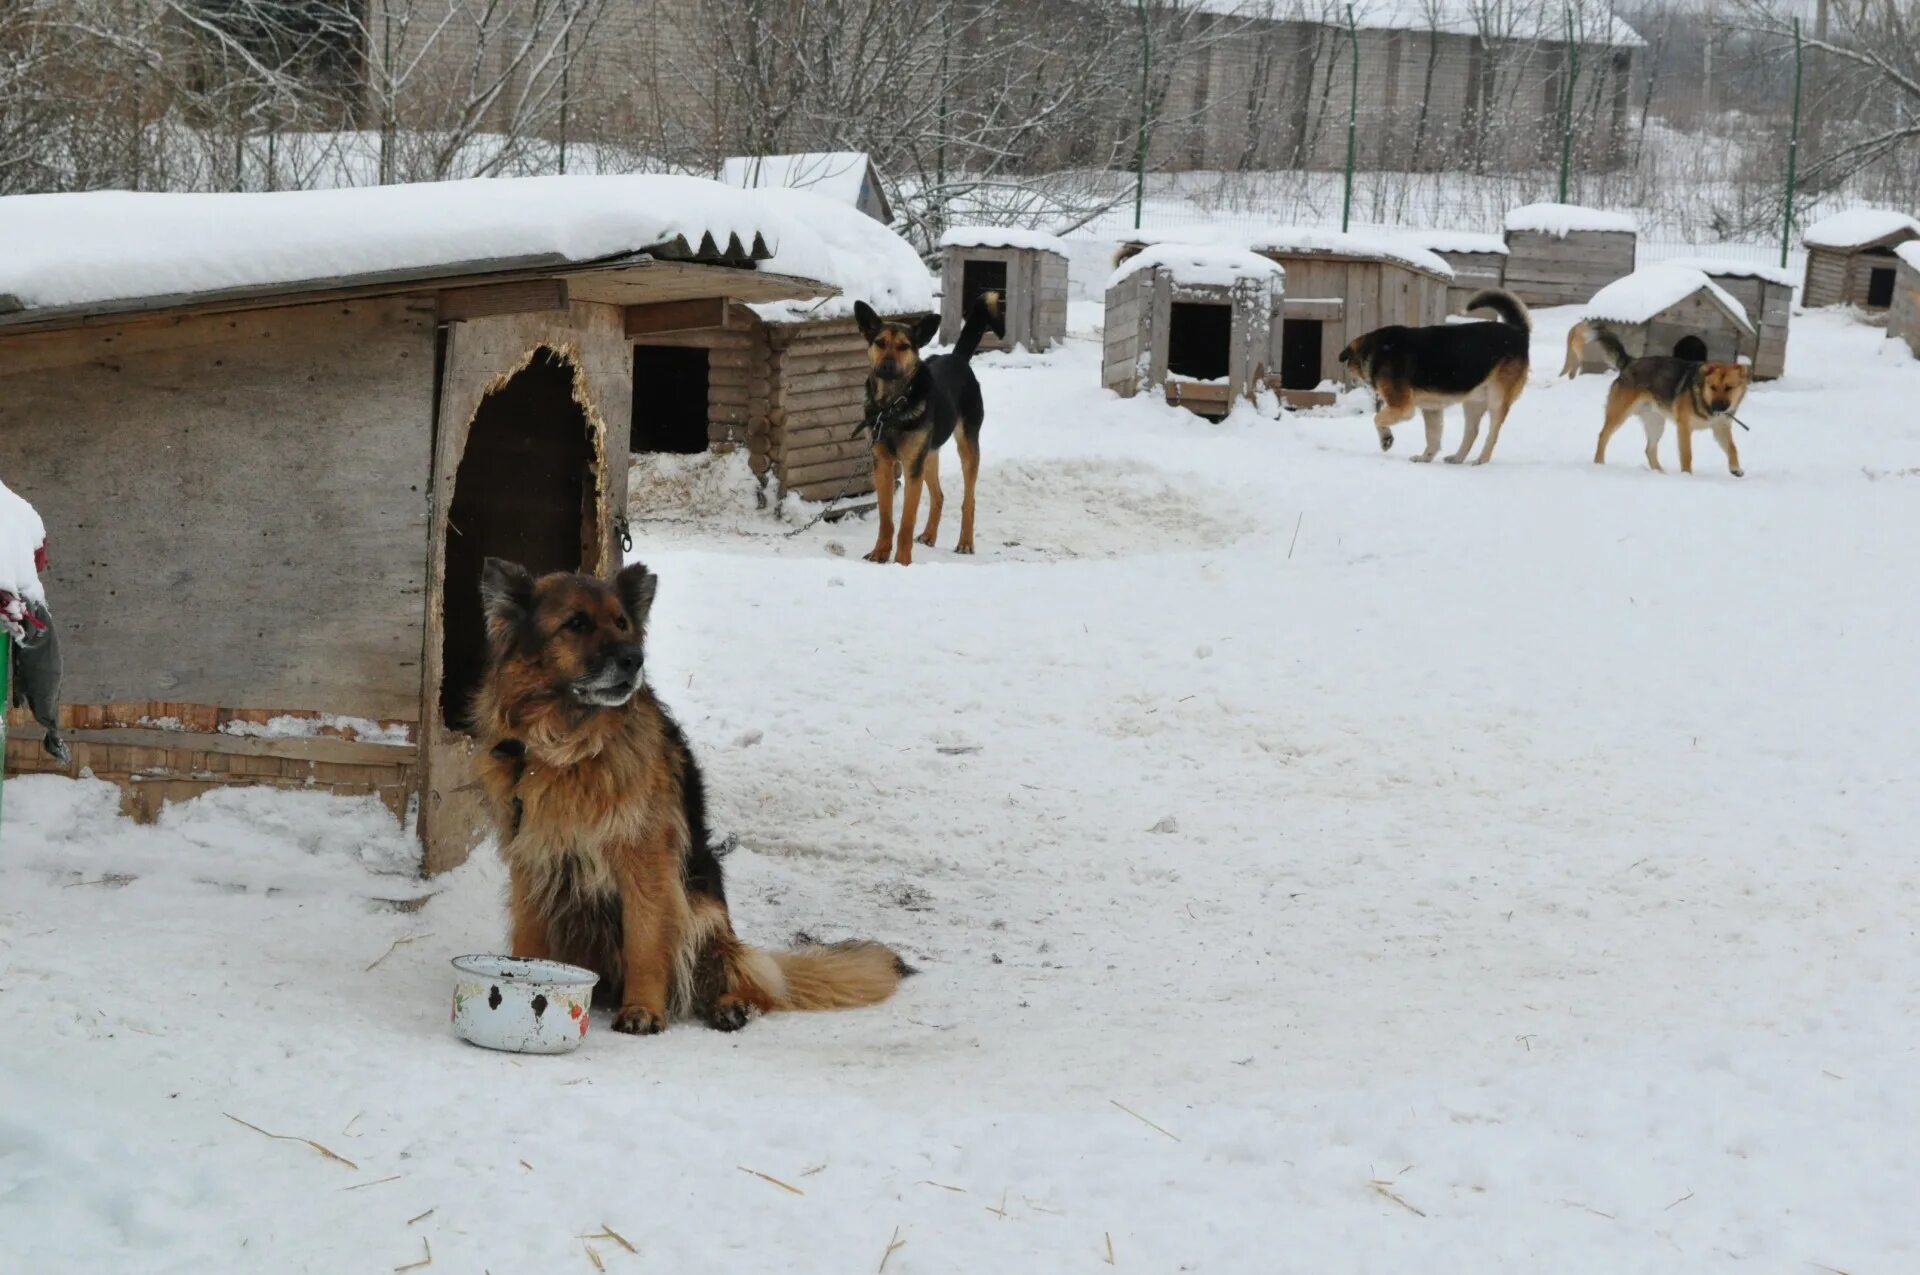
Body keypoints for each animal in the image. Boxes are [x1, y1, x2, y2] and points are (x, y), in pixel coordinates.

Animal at [468, 560, 910, 1036]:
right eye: (577, 624)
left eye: (622, 623)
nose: (634, 658)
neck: (567, 748)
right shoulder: (532, 860)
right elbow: (528, 939)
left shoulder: (645, 859)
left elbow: (644, 940)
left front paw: (642, 1009)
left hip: (702, 911)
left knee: (751, 980)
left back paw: (732, 1004)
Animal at [856, 293, 1006, 568]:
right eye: (880, 343)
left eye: (904, 347)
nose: (887, 366)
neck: (892, 407)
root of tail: (957, 358)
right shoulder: (882, 463)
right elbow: (886, 518)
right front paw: (879, 553)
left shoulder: (911, 466)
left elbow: (906, 522)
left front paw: (902, 563)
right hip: (928, 454)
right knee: (939, 496)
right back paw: (928, 535)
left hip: (966, 446)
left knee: (969, 500)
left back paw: (965, 543)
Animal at [1336, 288, 1528, 462]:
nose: (1351, 382)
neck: (1375, 350)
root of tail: (1519, 333)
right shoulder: (1431, 409)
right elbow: (1433, 437)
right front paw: (1425, 458)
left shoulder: (1403, 407)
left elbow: (1377, 419)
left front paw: (1386, 440)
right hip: (1473, 401)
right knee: (1472, 431)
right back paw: (1457, 458)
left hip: (1496, 400)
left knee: (1492, 434)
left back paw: (1481, 460)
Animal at [1589, 330, 1758, 476]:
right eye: (1712, 387)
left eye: (1729, 388)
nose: (1716, 407)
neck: (1704, 399)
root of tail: (1630, 362)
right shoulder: (1684, 427)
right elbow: (1687, 454)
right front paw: (1687, 476)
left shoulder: (1721, 428)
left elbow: (1733, 448)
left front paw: (1736, 468)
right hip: (1620, 414)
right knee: (1603, 435)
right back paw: (1599, 464)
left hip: (1656, 423)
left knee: (1649, 449)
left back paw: (1660, 473)